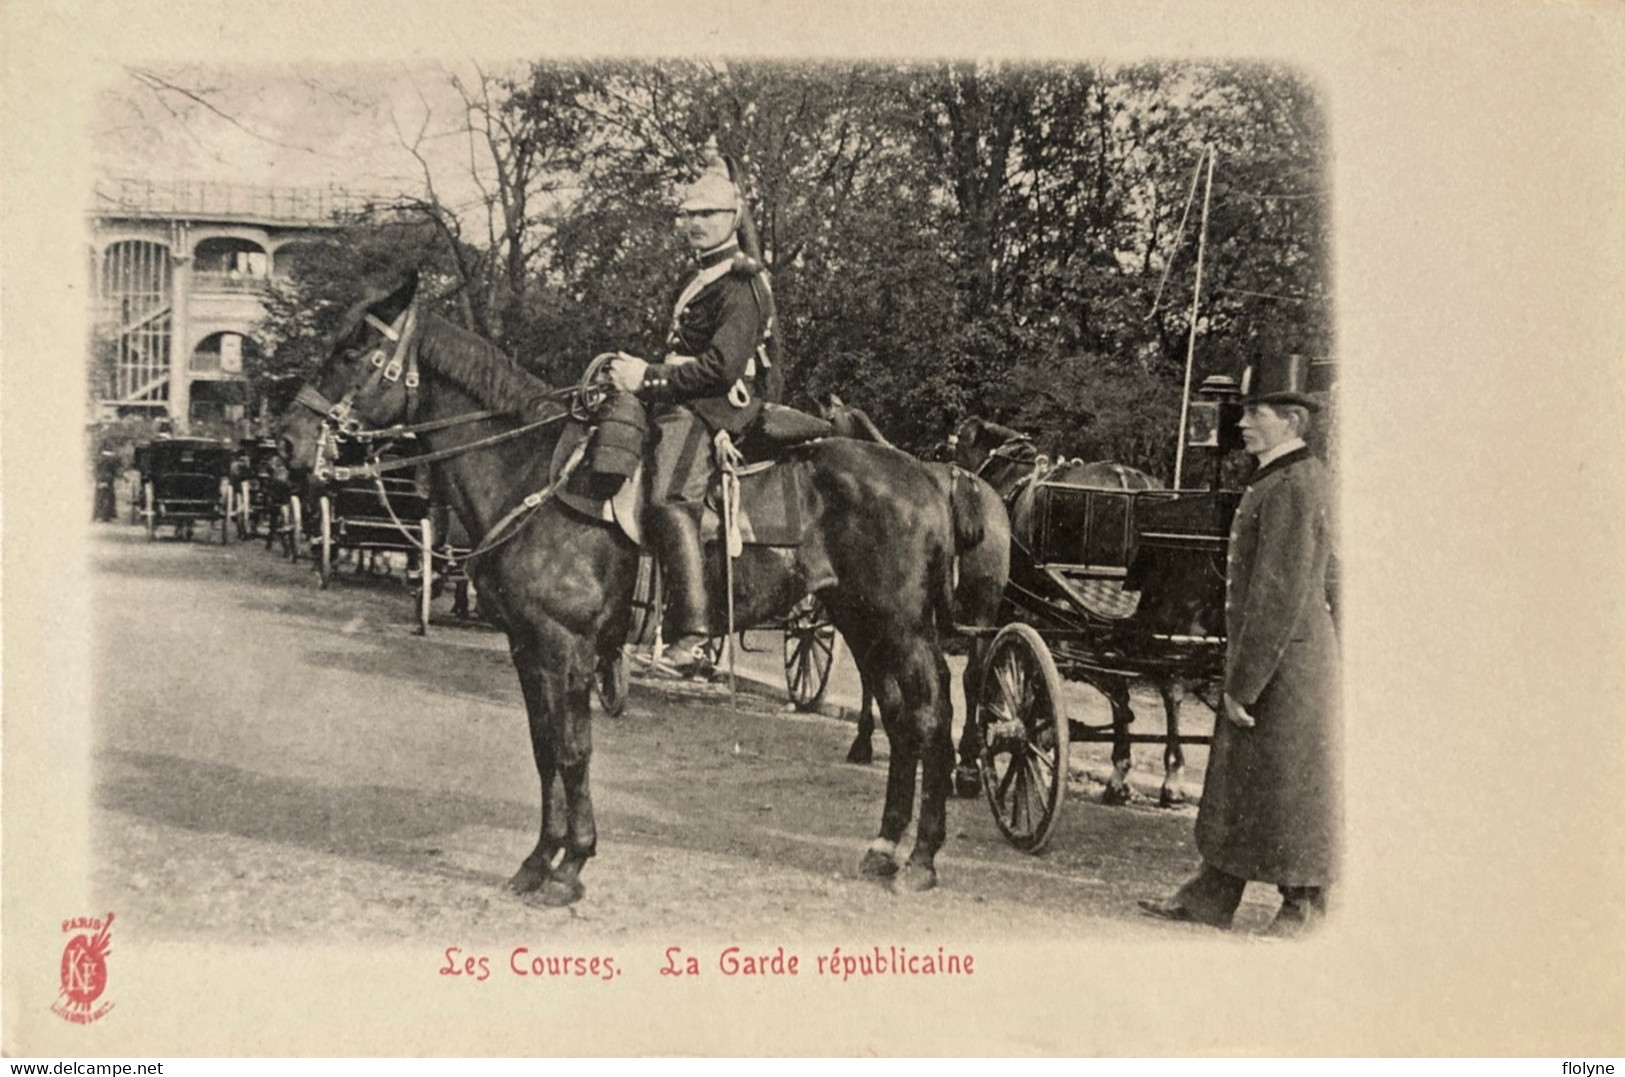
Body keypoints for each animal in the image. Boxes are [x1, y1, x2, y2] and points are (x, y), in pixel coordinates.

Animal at [276, 277, 975, 903]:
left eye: (352, 353)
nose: (287, 442)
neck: (529, 472)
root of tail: (928, 474)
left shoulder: (567, 645)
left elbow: (573, 749)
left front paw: (571, 866)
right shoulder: (528, 647)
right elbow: (544, 749)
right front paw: (538, 860)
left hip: (901, 624)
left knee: (931, 714)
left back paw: (921, 860)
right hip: (858, 619)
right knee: (899, 717)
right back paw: (883, 851)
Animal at [819, 394, 1007, 792]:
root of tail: (957, 486)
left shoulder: (862, 617)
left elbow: (870, 673)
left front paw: (863, 740)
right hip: (983, 603)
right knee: (972, 675)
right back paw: (967, 764)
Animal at [949, 415, 1196, 805]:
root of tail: (1132, 481)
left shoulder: (997, 606)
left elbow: (980, 675)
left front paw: (971, 760)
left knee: (1127, 684)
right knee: (1166, 685)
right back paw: (1160, 776)